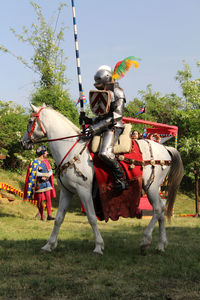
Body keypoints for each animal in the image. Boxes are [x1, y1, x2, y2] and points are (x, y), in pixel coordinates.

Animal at [21, 104, 184, 254]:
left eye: (30, 121)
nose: (23, 142)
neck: (70, 149)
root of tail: (166, 149)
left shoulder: (84, 191)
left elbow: (92, 218)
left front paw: (99, 246)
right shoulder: (67, 192)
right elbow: (59, 218)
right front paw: (49, 245)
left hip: (151, 187)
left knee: (158, 209)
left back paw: (145, 241)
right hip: (153, 189)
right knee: (161, 210)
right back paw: (161, 245)